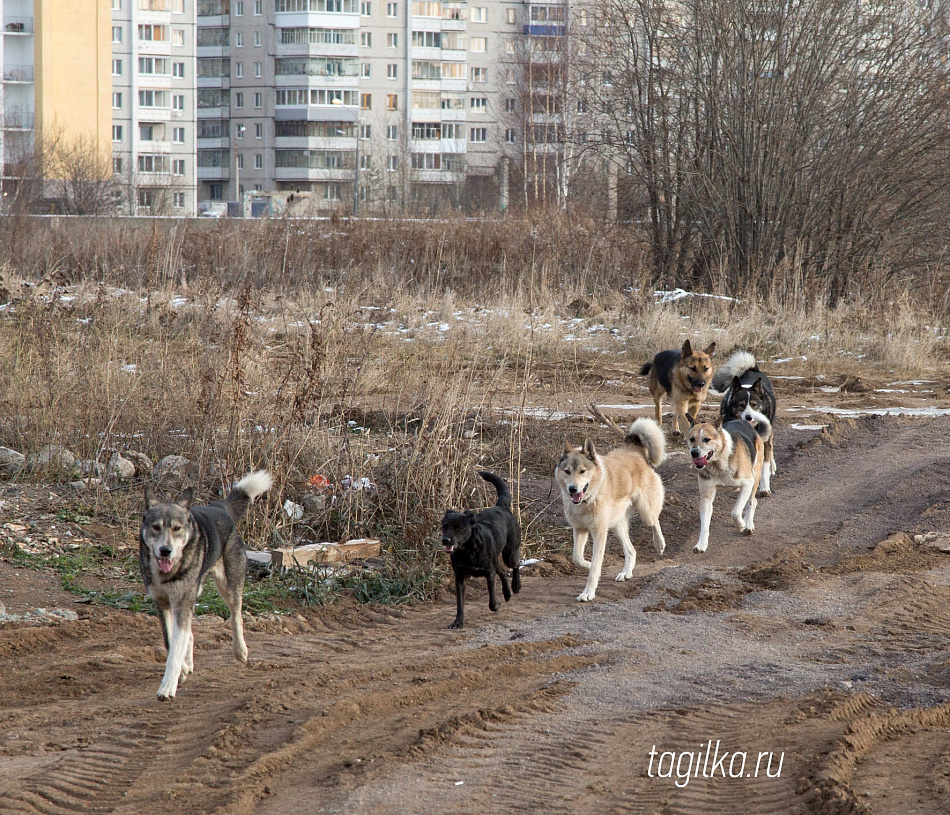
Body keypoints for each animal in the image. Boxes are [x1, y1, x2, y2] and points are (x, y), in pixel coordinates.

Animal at [138, 472, 274, 700]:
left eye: (176, 528)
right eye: (156, 527)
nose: (165, 550)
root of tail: (220, 507)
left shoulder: (182, 602)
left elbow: (175, 651)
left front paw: (167, 687)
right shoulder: (163, 604)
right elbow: (171, 642)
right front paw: (182, 669)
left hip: (228, 587)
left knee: (236, 617)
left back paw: (240, 651)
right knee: (190, 634)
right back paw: (188, 665)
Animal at [442, 472, 524, 632]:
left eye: (459, 527)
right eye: (444, 526)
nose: (445, 540)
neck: (468, 551)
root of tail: (501, 507)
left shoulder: (489, 573)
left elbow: (492, 602)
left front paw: (497, 605)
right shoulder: (460, 577)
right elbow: (460, 605)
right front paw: (458, 622)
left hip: (509, 553)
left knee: (515, 564)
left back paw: (516, 586)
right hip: (496, 559)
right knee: (503, 571)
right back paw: (507, 593)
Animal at [556, 418, 668, 604]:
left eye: (582, 471)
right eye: (567, 471)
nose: (572, 489)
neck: (588, 499)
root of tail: (633, 450)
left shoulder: (599, 533)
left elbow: (595, 567)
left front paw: (588, 592)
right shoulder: (580, 529)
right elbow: (577, 558)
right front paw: (588, 564)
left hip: (645, 512)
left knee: (655, 521)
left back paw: (659, 544)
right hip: (617, 526)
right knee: (631, 551)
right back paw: (626, 573)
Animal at [688, 414, 768, 556]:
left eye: (707, 439)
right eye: (692, 439)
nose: (694, 452)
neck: (719, 462)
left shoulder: (747, 484)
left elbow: (735, 512)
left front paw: (741, 525)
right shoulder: (706, 497)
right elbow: (704, 524)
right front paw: (701, 545)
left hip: (755, 476)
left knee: (752, 501)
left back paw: (748, 524)